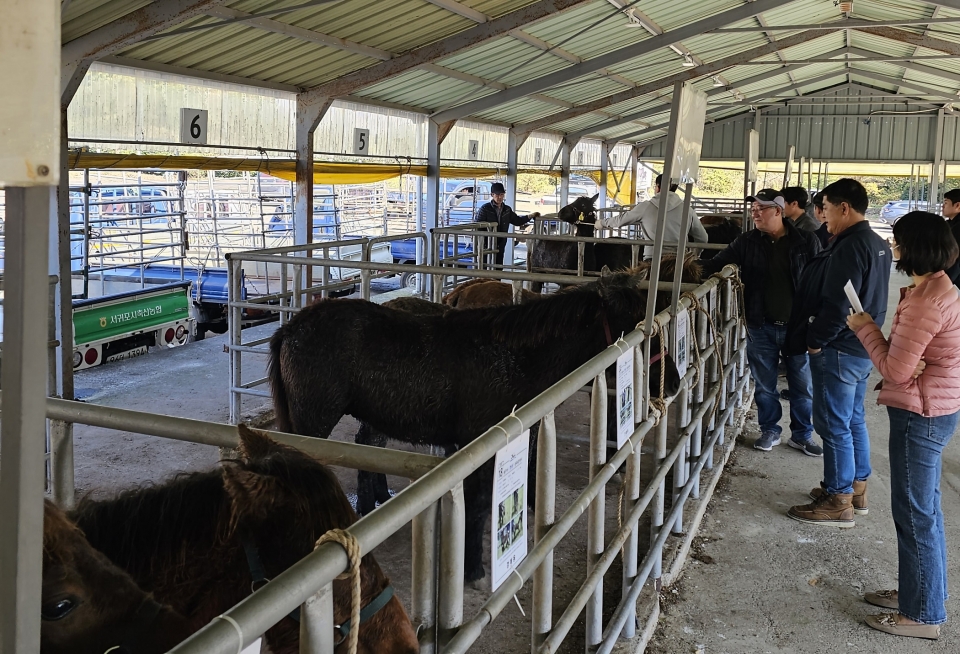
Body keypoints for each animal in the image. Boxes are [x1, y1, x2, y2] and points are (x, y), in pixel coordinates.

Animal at [270, 266, 696, 584]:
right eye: (632, 321)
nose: (673, 382)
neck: (515, 355)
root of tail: (291, 328)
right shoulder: (479, 444)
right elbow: (476, 504)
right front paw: (472, 567)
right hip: (313, 423)